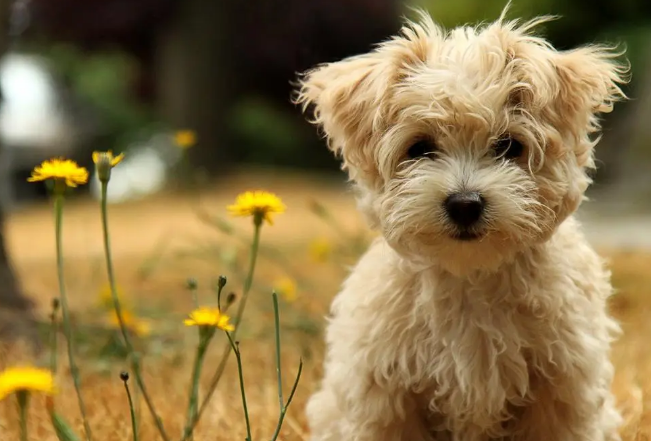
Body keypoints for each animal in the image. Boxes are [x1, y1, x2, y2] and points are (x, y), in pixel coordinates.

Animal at [296, 6, 632, 440]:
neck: (470, 276)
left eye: (509, 146)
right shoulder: (384, 393)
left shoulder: (563, 387)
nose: (465, 204)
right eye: (420, 148)